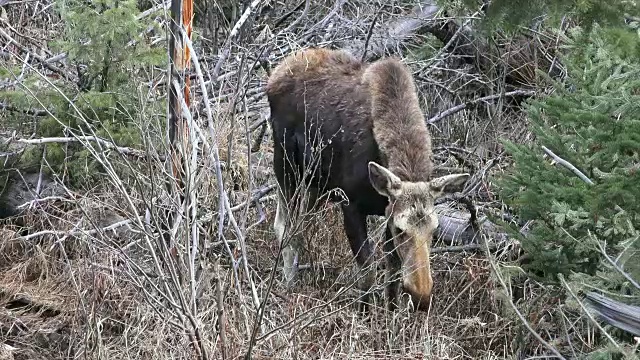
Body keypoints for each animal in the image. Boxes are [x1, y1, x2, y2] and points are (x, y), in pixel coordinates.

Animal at [264, 47, 470, 310]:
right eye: (402, 230)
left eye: (434, 229)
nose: (422, 295)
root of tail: (276, 73)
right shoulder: (351, 204)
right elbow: (367, 271)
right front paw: (364, 312)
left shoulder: (387, 209)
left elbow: (392, 273)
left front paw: (391, 312)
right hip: (285, 165)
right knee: (285, 226)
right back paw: (288, 285)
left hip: (315, 183)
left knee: (301, 226)